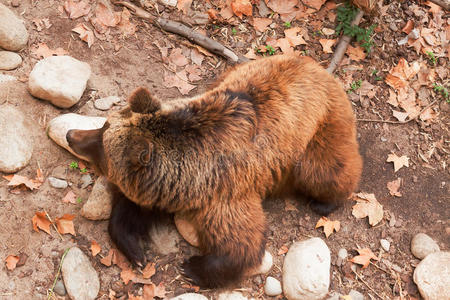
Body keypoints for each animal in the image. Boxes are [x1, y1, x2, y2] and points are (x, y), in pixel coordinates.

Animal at [67, 54, 362, 288]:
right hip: (242, 68)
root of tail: (318, 67)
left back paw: (325, 202)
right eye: (105, 125)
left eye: (101, 141)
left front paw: (193, 267)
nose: (71, 135)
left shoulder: (226, 191)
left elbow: (241, 242)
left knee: (324, 171)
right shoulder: (165, 188)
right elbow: (134, 211)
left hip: (317, 133)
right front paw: (136, 251)